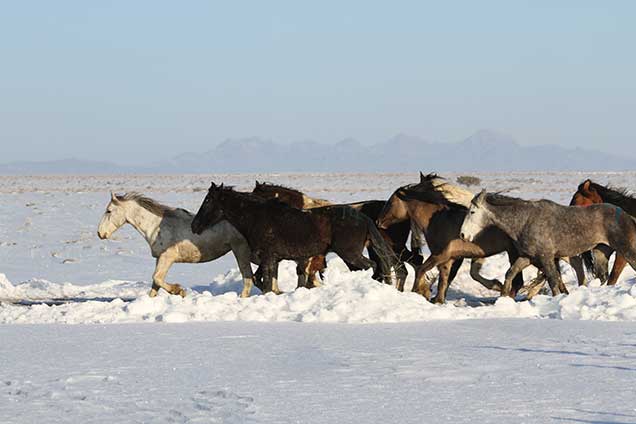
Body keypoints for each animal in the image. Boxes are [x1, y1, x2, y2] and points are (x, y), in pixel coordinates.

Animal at [95, 193, 255, 296]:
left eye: (109, 211)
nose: (100, 233)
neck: (157, 226)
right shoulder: (160, 259)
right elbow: (155, 285)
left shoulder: (168, 257)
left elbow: (157, 278)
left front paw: (179, 291)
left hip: (240, 250)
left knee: (248, 279)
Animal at [194, 182, 400, 294]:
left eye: (207, 200)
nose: (195, 225)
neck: (257, 217)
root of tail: (365, 218)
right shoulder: (274, 259)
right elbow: (266, 281)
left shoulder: (269, 258)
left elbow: (266, 282)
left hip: (350, 254)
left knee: (373, 266)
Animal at [376, 174, 524, 304]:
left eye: (390, 203)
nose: (378, 221)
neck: (437, 220)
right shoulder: (448, 259)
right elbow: (444, 279)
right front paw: (438, 300)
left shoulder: (440, 255)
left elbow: (421, 270)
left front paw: (418, 292)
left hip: (514, 253)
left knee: (517, 282)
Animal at [460, 190, 636, 296]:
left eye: (472, 212)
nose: (462, 235)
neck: (525, 220)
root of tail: (627, 216)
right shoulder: (528, 257)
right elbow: (510, 272)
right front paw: (503, 295)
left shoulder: (546, 257)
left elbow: (553, 279)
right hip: (601, 253)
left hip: (625, 250)